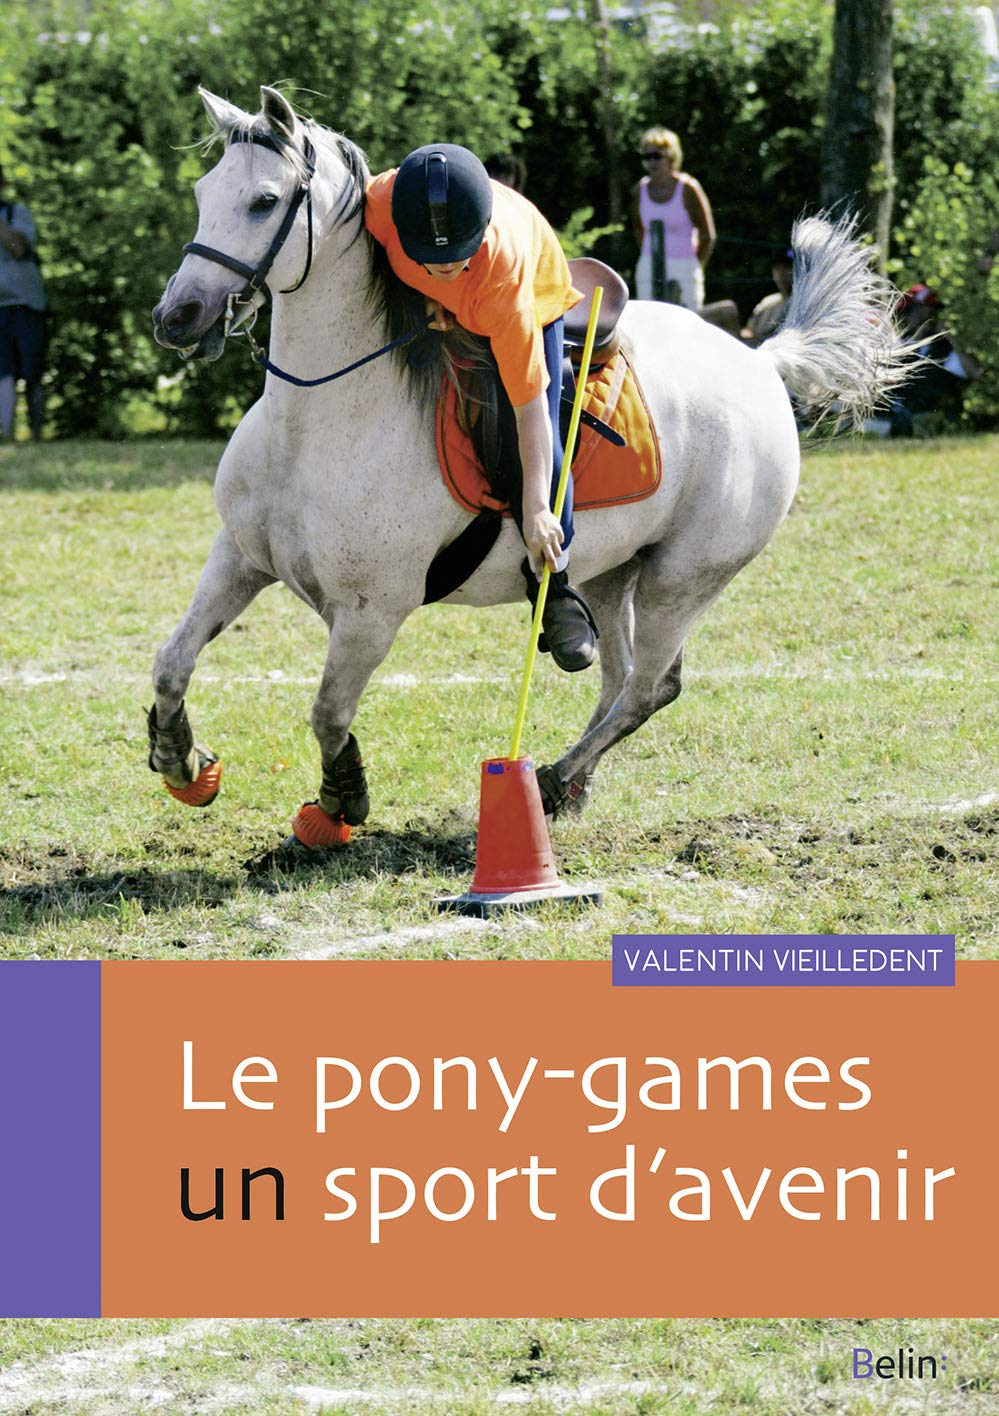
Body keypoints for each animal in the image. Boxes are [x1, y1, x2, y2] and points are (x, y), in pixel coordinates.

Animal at [149, 86, 911, 847]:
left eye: (264, 201)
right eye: (203, 191)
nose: (176, 315)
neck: (316, 422)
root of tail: (759, 359)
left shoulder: (371, 614)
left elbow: (328, 712)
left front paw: (339, 803)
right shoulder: (240, 558)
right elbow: (172, 660)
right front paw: (181, 759)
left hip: (682, 579)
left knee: (648, 687)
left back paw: (549, 777)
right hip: (615, 571)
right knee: (619, 677)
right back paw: (571, 782)